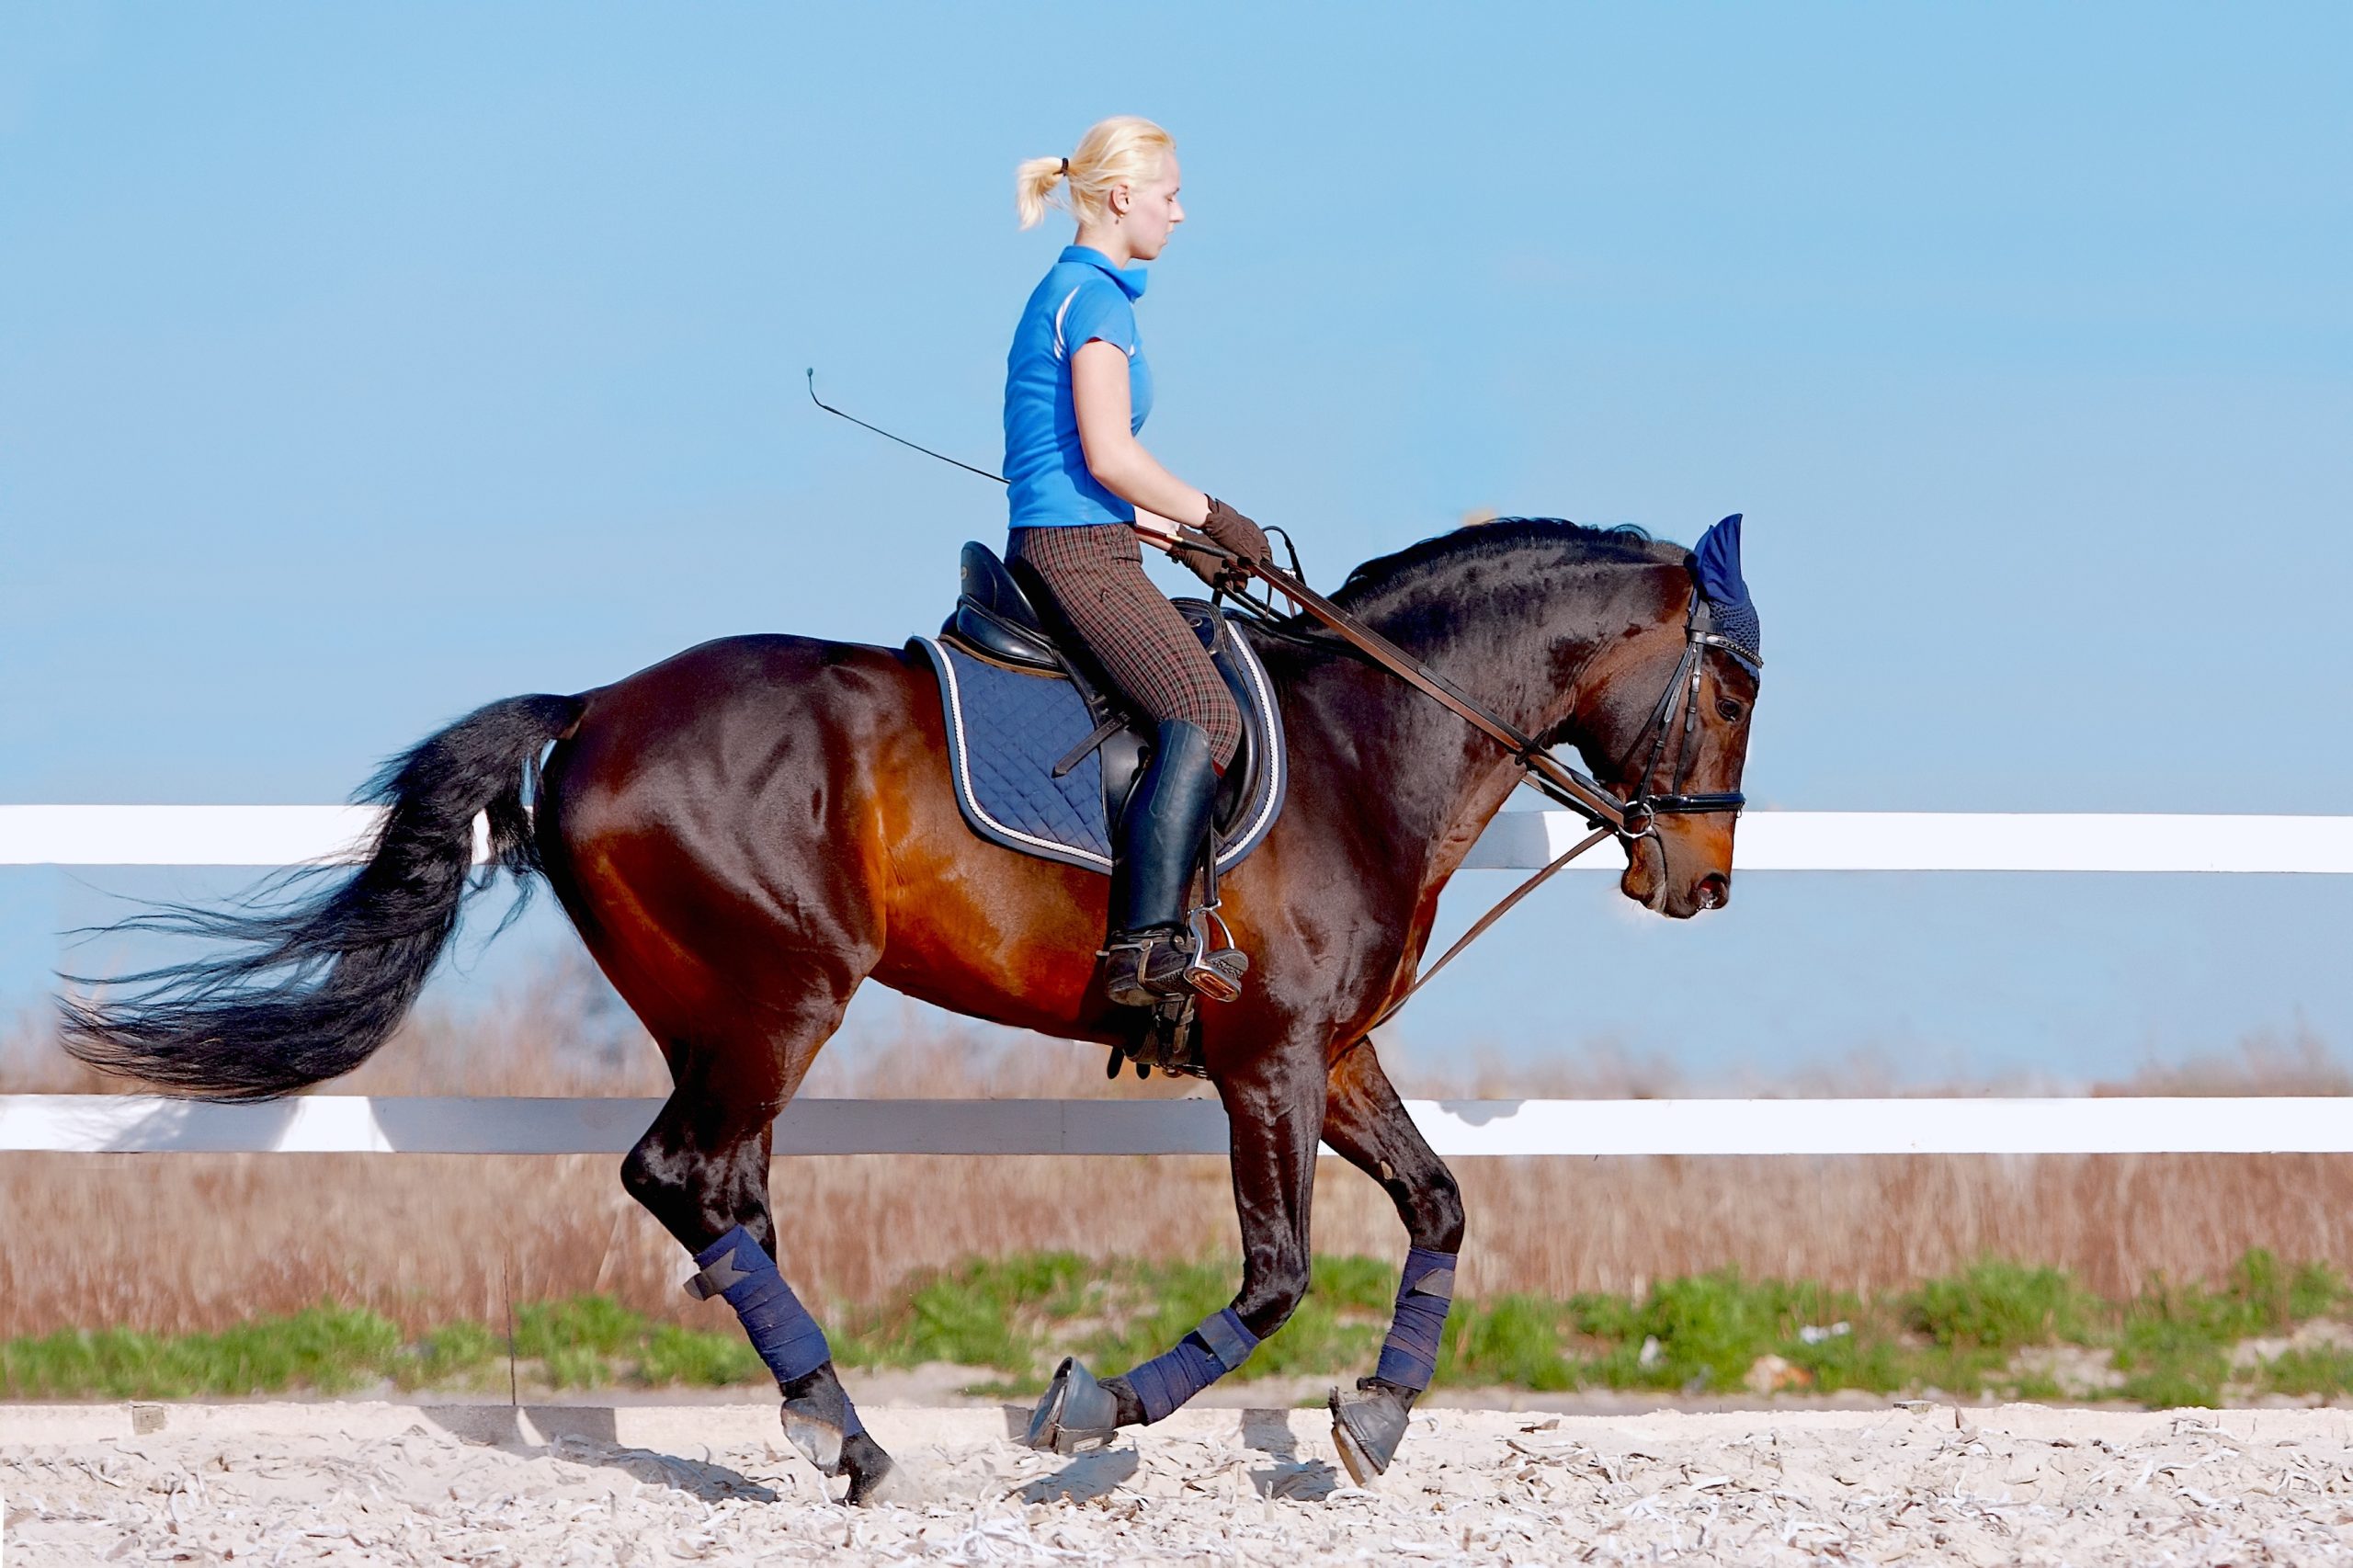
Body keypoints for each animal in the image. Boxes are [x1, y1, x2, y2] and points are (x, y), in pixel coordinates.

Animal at [59, 515, 1769, 1506]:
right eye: (1736, 688)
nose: (1699, 882)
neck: (1369, 741)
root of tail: (596, 706)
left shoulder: (1330, 1055)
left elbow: (1442, 1205)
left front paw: (1385, 1417)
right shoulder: (1270, 1059)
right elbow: (1276, 1276)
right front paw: (1089, 1407)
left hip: (726, 1013)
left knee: (722, 1194)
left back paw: (836, 1424)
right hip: (780, 994)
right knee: (683, 1176)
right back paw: (847, 1436)